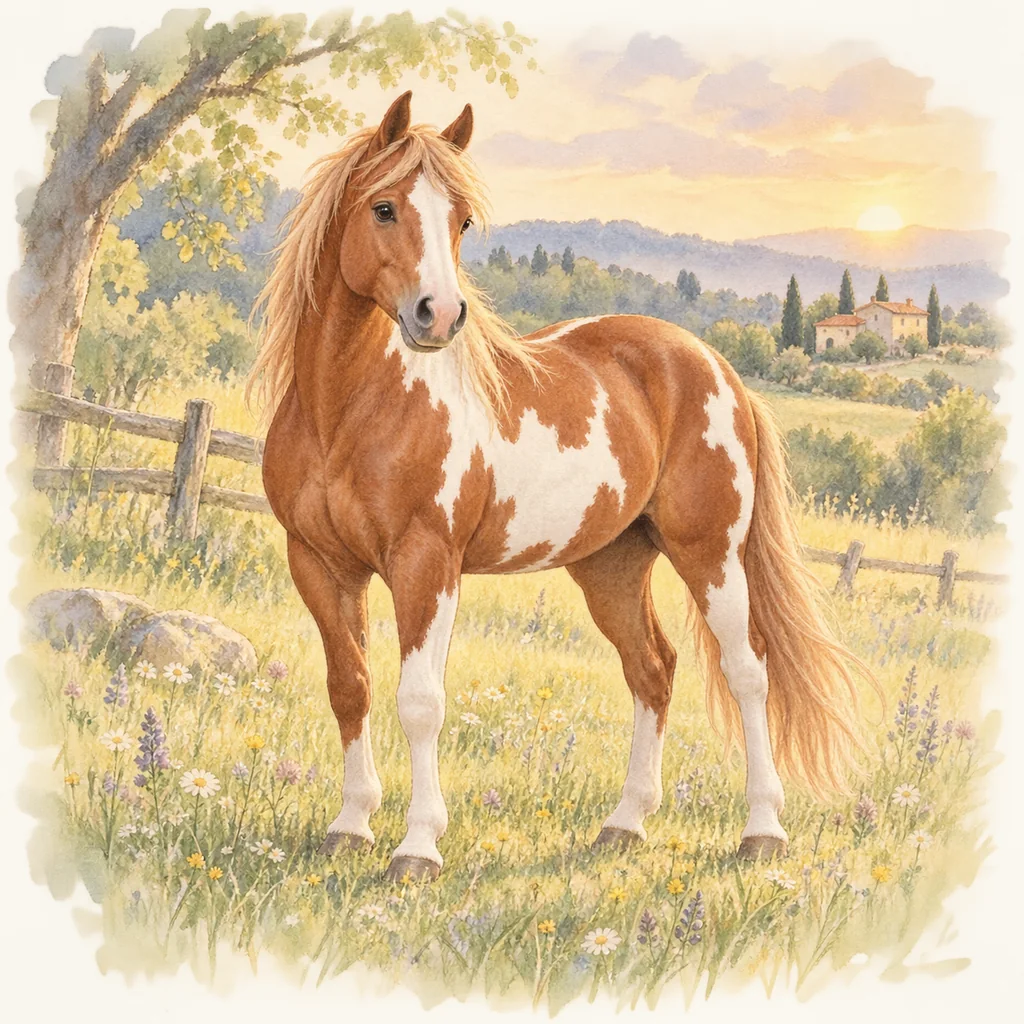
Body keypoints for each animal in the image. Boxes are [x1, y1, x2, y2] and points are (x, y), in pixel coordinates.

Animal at [250, 91, 870, 882]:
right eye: (383, 208)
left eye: (462, 220)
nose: (438, 316)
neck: (349, 409)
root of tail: (715, 366)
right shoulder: (321, 564)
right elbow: (349, 687)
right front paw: (350, 827)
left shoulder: (427, 565)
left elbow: (419, 701)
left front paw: (417, 848)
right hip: (611, 564)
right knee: (653, 670)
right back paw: (625, 826)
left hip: (712, 554)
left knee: (747, 671)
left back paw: (762, 831)